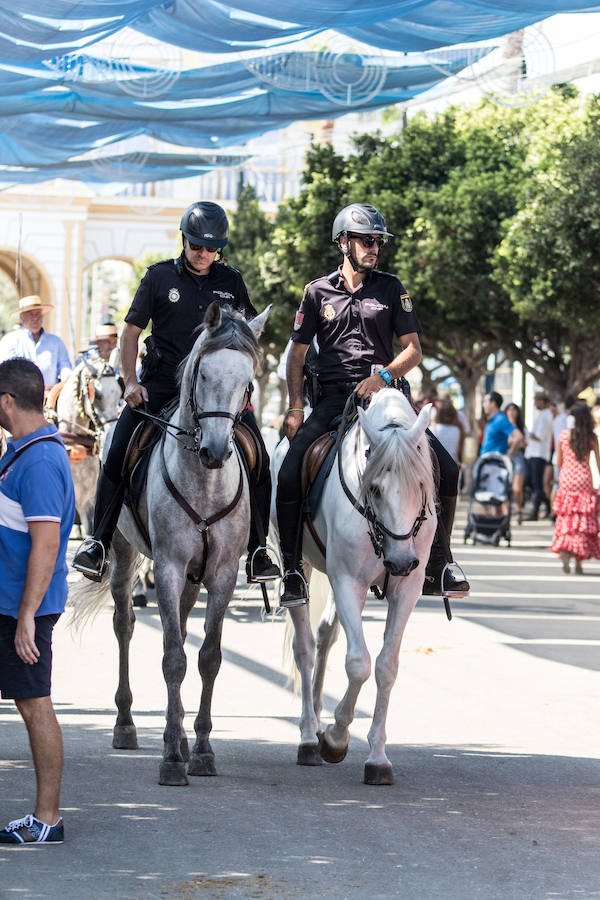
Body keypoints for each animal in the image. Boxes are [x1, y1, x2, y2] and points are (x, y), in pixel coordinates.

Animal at [71, 300, 268, 780]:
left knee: (176, 625)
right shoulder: (168, 567)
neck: (205, 482)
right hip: (124, 554)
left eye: (247, 382)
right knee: (125, 625)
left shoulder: (221, 574)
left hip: (193, 576)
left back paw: (174, 732)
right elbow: (173, 657)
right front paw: (173, 761)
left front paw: (200, 749)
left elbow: (208, 657)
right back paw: (126, 724)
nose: (215, 450)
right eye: (203, 374)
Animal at [272, 390, 436, 784]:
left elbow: (386, 666)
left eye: (421, 486)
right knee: (305, 647)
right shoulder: (348, 581)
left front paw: (377, 757)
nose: (401, 561)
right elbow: (359, 663)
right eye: (374, 488)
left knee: (324, 635)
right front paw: (336, 737)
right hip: (296, 567)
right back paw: (309, 736)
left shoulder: (406, 591)